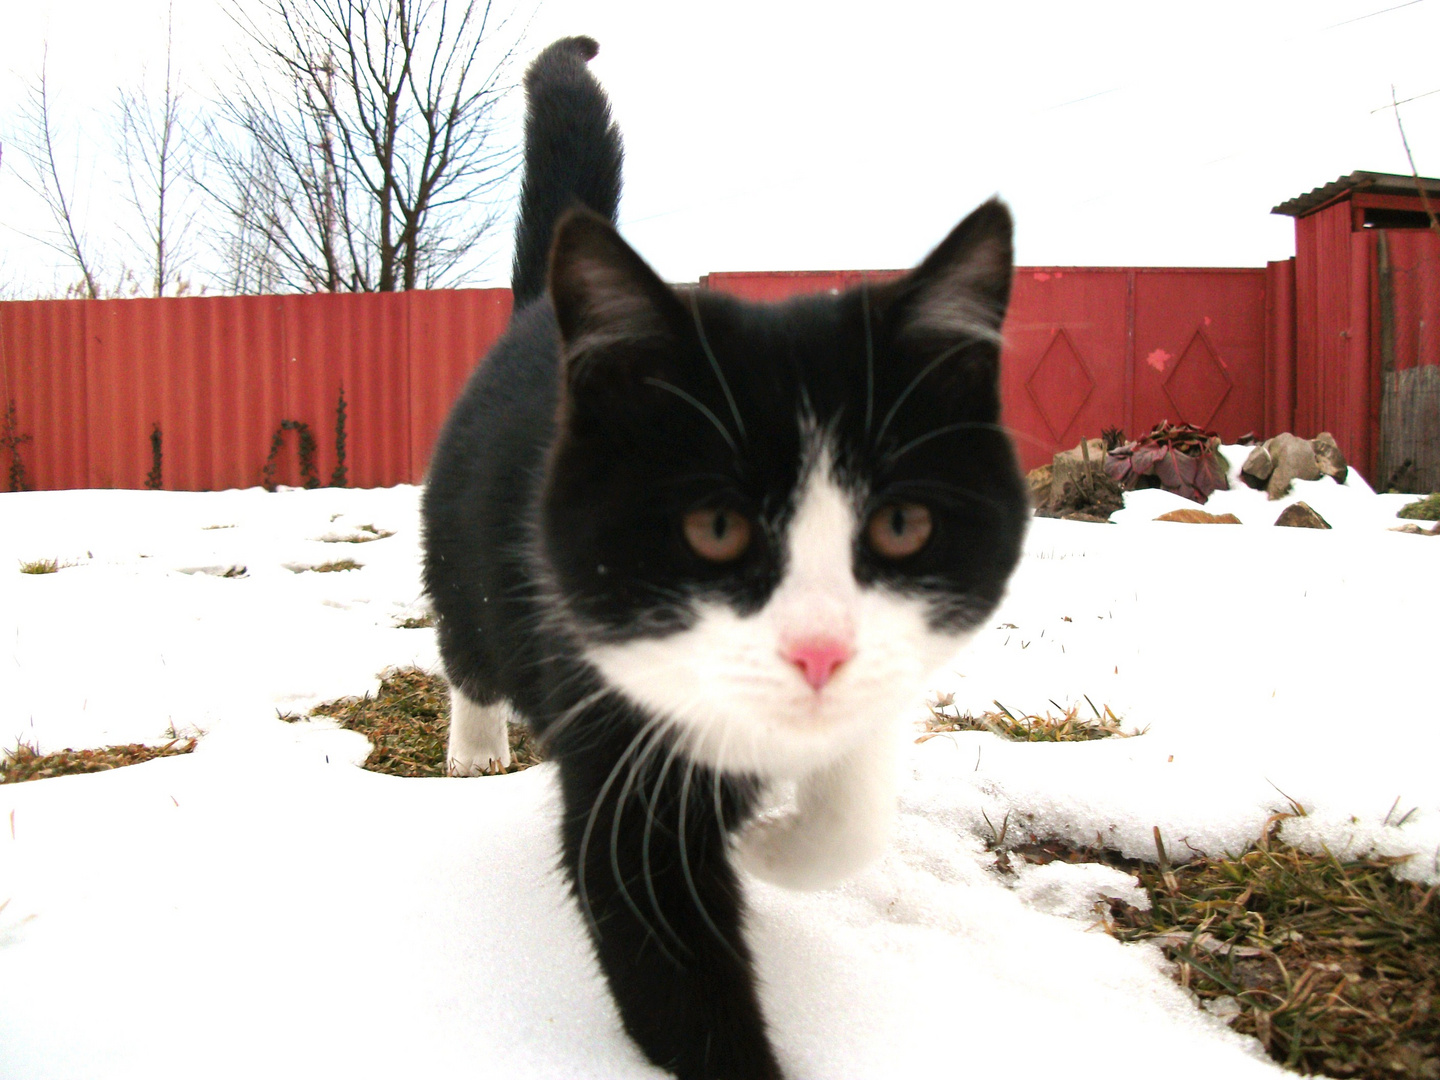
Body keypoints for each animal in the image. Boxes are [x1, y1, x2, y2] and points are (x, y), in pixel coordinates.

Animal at [420, 33, 1031, 1080]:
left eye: (902, 526)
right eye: (714, 529)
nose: (820, 651)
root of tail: (542, 306)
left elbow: (856, 808)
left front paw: (776, 848)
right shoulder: (616, 744)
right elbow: (665, 950)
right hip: (463, 549)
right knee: (468, 643)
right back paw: (474, 749)